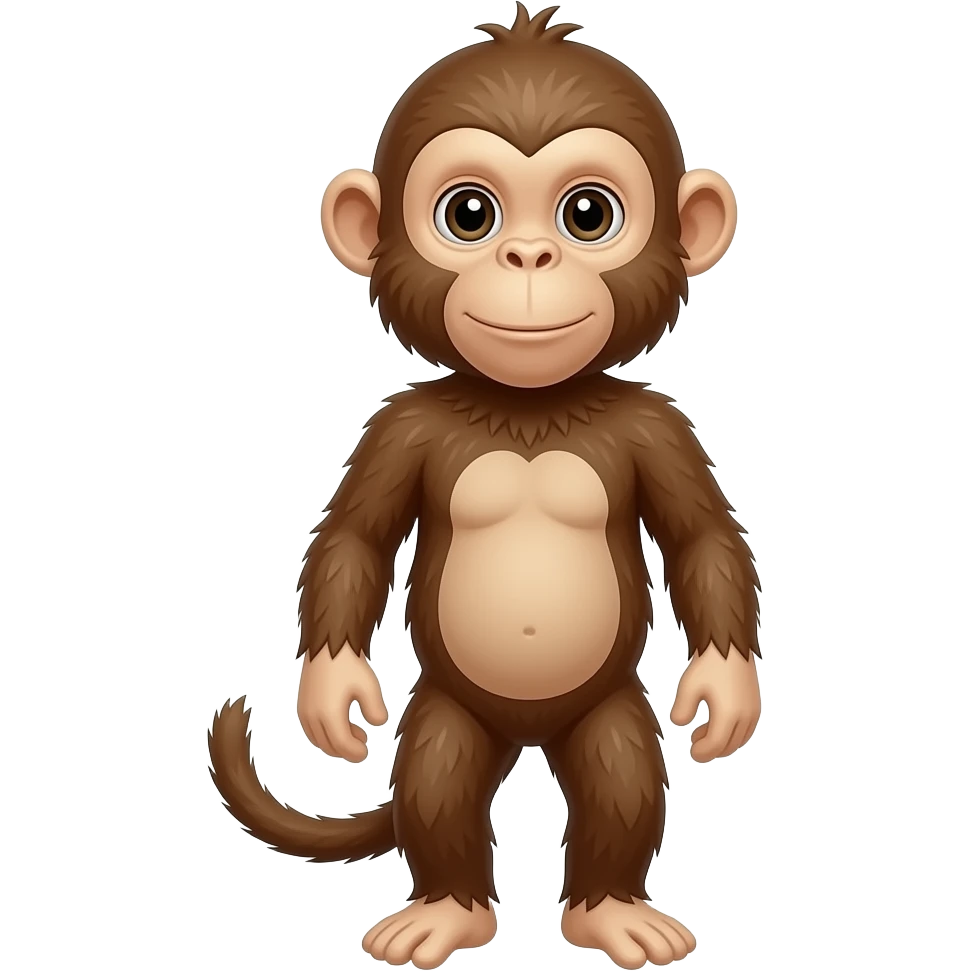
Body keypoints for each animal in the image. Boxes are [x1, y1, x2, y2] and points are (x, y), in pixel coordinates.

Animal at [208, 5, 762, 969]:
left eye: (588, 213)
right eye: (469, 212)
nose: (527, 253)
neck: (528, 408)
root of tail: (527, 732)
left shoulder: (660, 426)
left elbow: (702, 539)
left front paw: (724, 691)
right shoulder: (397, 426)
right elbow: (354, 536)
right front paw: (331, 692)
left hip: (603, 707)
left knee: (621, 772)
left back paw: (611, 910)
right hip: (451, 706)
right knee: (438, 774)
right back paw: (446, 910)